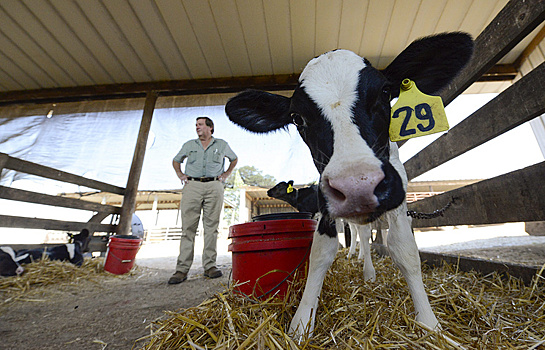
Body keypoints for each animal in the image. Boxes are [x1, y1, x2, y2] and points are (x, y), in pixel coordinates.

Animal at [225, 33, 472, 340]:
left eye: (385, 92)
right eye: (297, 118)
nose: (357, 185)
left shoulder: (398, 196)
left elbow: (405, 250)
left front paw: (429, 323)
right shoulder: (324, 203)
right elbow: (320, 252)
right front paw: (301, 323)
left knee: (366, 234)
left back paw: (368, 271)